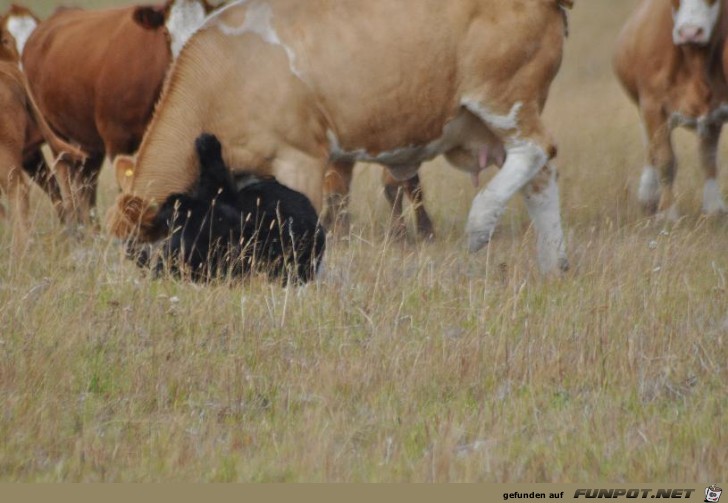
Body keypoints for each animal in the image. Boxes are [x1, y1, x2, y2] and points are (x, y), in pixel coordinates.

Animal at [108, 0, 576, 274]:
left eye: (139, 251)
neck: (228, 73)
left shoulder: (302, 160)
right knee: (540, 177)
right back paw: (552, 263)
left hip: (503, 100)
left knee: (537, 150)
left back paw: (481, 223)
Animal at [616, 0, 728, 219]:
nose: (690, 32)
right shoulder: (653, 106)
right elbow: (665, 160)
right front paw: (668, 212)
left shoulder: (715, 113)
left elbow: (708, 158)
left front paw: (714, 208)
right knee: (650, 148)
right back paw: (649, 195)